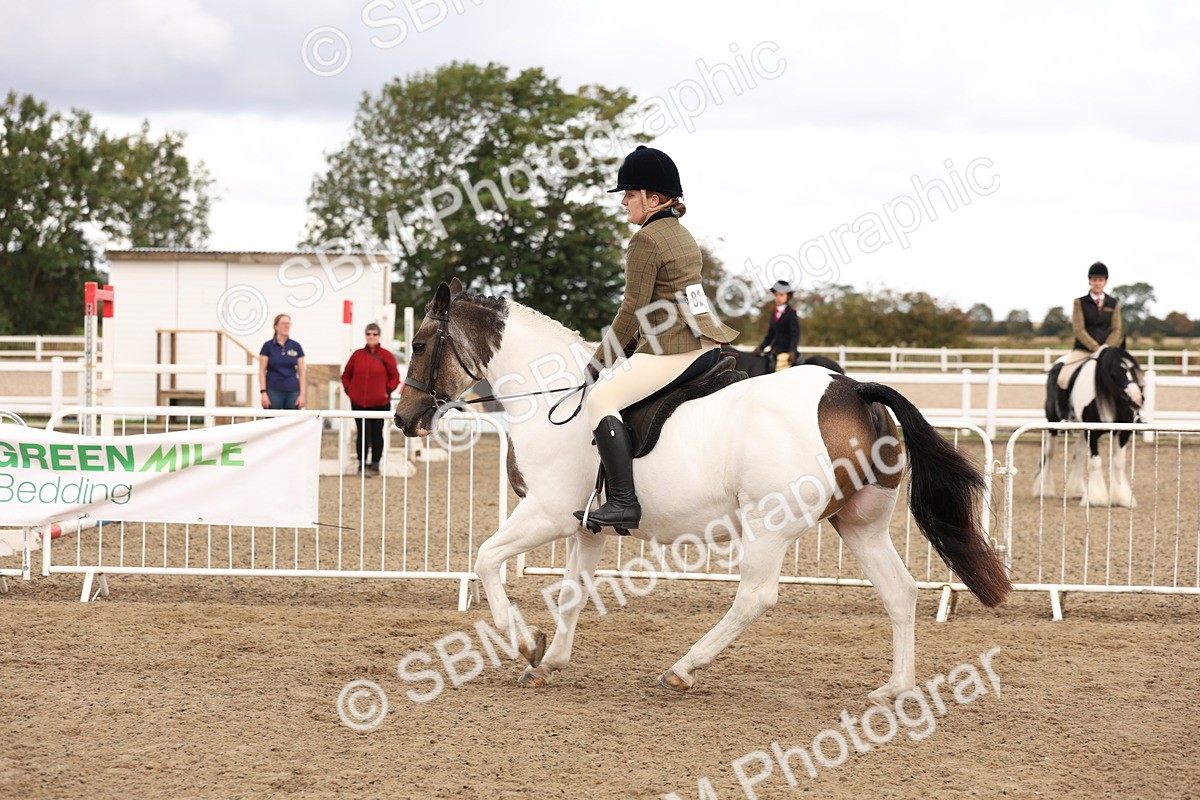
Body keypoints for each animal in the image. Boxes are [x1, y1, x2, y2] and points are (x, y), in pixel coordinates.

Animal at [394, 279, 1011, 707]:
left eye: (420, 343)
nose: (403, 420)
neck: (551, 395)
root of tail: (851, 388)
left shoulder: (545, 513)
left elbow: (485, 560)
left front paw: (525, 644)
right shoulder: (583, 525)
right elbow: (571, 592)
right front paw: (548, 661)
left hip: (769, 524)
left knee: (756, 597)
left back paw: (683, 669)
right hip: (859, 524)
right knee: (899, 592)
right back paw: (894, 689)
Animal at [1032, 346, 1145, 507]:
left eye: (1133, 370)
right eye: (1113, 374)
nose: (1137, 399)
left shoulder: (1123, 433)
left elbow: (1118, 462)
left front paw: (1121, 498)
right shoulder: (1092, 432)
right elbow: (1095, 462)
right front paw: (1095, 498)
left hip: (1081, 430)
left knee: (1078, 453)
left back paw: (1077, 490)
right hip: (1053, 423)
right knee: (1049, 453)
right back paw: (1044, 489)